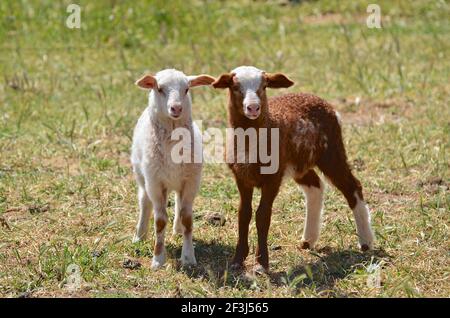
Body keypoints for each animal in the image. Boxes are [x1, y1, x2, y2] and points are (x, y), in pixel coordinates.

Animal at [130, 69, 214, 268]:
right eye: (159, 88)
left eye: (187, 89)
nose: (176, 108)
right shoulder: (155, 183)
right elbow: (160, 221)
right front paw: (158, 259)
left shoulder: (191, 181)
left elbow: (187, 219)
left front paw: (188, 257)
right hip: (142, 176)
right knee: (144, 202)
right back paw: (140, 235)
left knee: (177, 202)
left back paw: (177, 229)